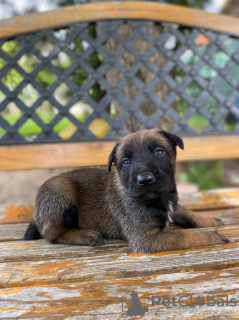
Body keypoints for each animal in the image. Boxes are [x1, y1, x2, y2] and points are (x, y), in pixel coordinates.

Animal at [23, 130, 228, 252]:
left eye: (159, 152)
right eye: (126, 162)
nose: (145, 180)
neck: (158, 198)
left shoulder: (172, 206)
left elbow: (186, 212)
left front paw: (210, 221)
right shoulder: (146, 239)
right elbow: (185, 236)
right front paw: (213, 235)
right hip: (61, 188)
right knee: (51, 234)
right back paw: (87, 235)